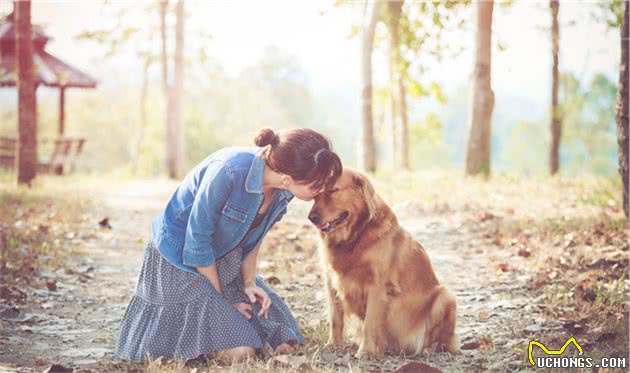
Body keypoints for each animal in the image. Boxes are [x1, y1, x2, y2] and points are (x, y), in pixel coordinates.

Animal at [308, 168, 460, 354]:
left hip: (445, 296)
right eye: (315, 195)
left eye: (333, 190)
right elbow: (335, 318)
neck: (355, 238)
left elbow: (370, 323)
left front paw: (366, 352)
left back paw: (428, 348)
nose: (312, 217)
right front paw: (333, 344)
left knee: (444, 341)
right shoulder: (331, 281)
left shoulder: (377, 286)